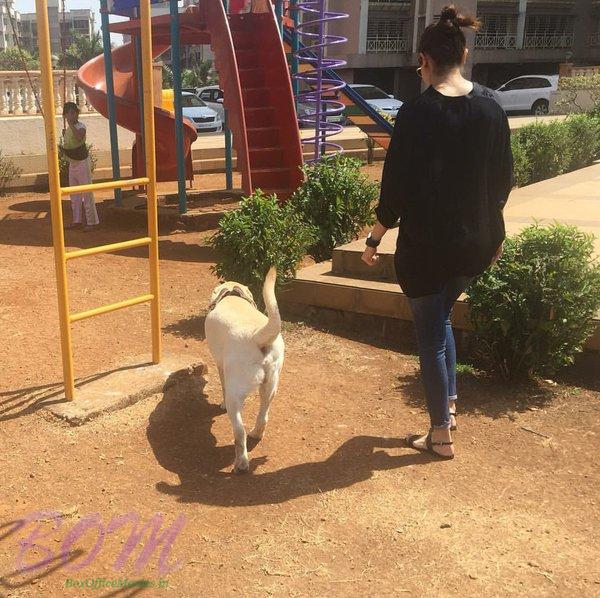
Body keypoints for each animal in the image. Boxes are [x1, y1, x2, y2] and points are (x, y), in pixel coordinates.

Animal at [204, 270, 284, 476]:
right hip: (270, 387)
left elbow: (222, 386)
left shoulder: (220, 365)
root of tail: (257, 335)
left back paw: (241, 464)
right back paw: (256, 433)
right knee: (263, 416)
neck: (232, 295)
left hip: (235, 395)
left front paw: (221, 405)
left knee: (239, 434)